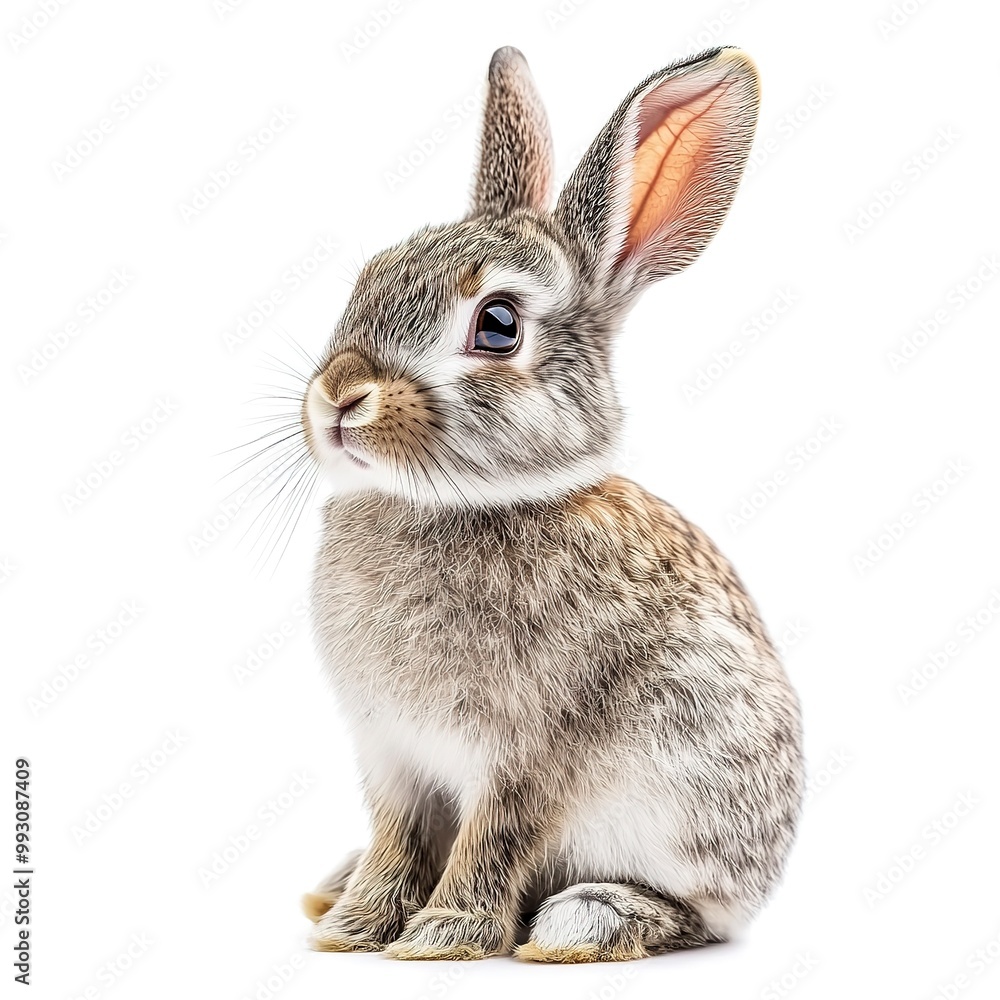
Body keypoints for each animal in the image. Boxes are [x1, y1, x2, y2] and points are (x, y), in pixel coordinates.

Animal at [298, 45, 803, 962]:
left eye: (497, 324)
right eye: (371, 276)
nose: (339, 395)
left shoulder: (526, 756)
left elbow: (493, 838)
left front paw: (440, 939)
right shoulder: (391, 756)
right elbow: (396, 837)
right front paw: (353, 930)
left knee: (691, 916)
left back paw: (586, 921)